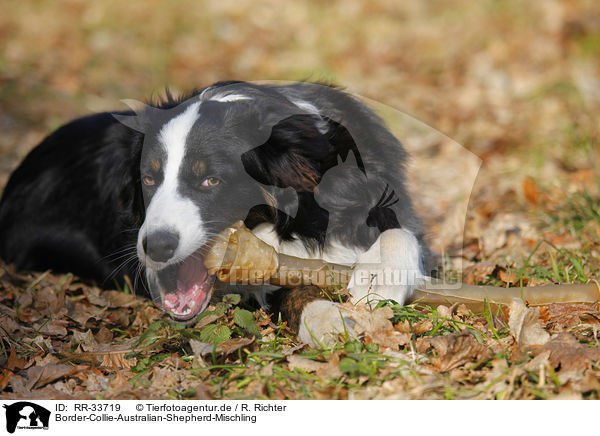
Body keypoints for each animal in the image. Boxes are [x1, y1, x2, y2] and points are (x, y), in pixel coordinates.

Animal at [0, 82, 434, 346]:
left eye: (211, 180)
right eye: (147, 179)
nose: (155, 248)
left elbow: (399, 233)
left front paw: (378, 280)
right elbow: (290, 291)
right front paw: (328, 319)